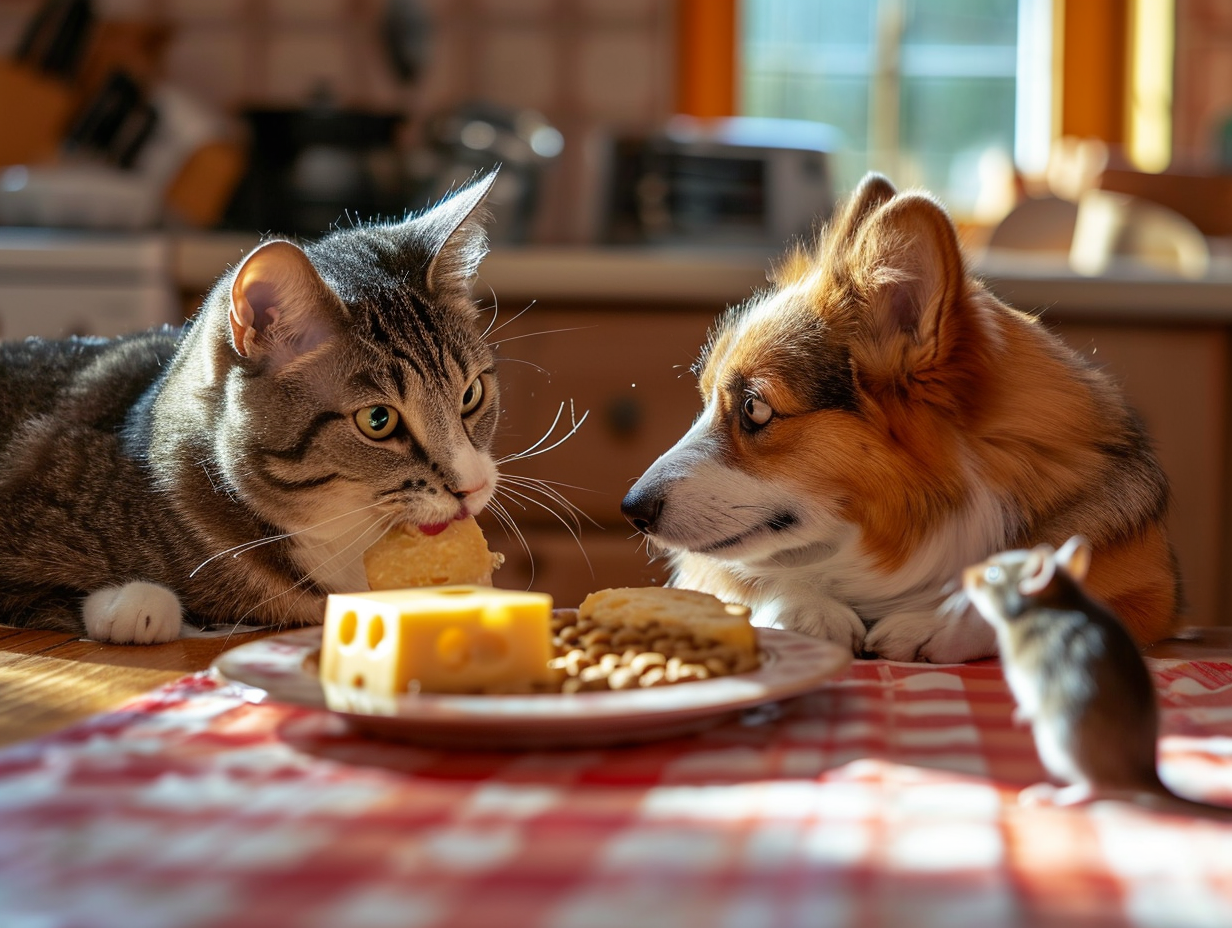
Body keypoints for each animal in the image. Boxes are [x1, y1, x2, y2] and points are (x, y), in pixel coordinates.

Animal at [620, 173, 1177, 660]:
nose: (631, 510)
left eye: (754, 407)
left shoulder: (1148, 595)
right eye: (705, 398)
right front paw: (805, 609)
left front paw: (940, 622)